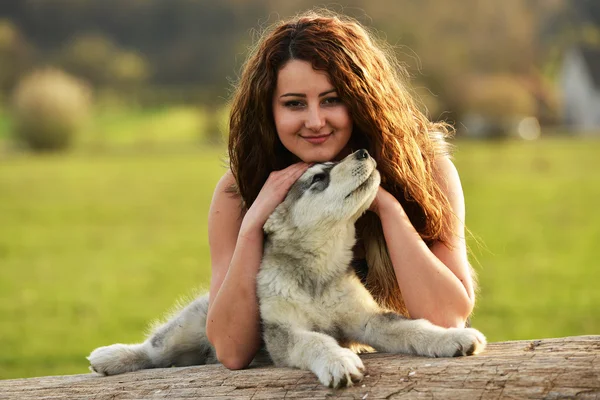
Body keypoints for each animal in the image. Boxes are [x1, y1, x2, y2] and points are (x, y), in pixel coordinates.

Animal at [88, 149, 488, 388]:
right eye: (318, 178)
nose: (362, 150)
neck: (317, 272)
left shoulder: (367, 319)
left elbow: (412, 326)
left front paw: (452, 338)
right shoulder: (283, 331)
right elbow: (315, 340)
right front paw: (338, 361)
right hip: (190, 327)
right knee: (155, 350)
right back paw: (111, 357)